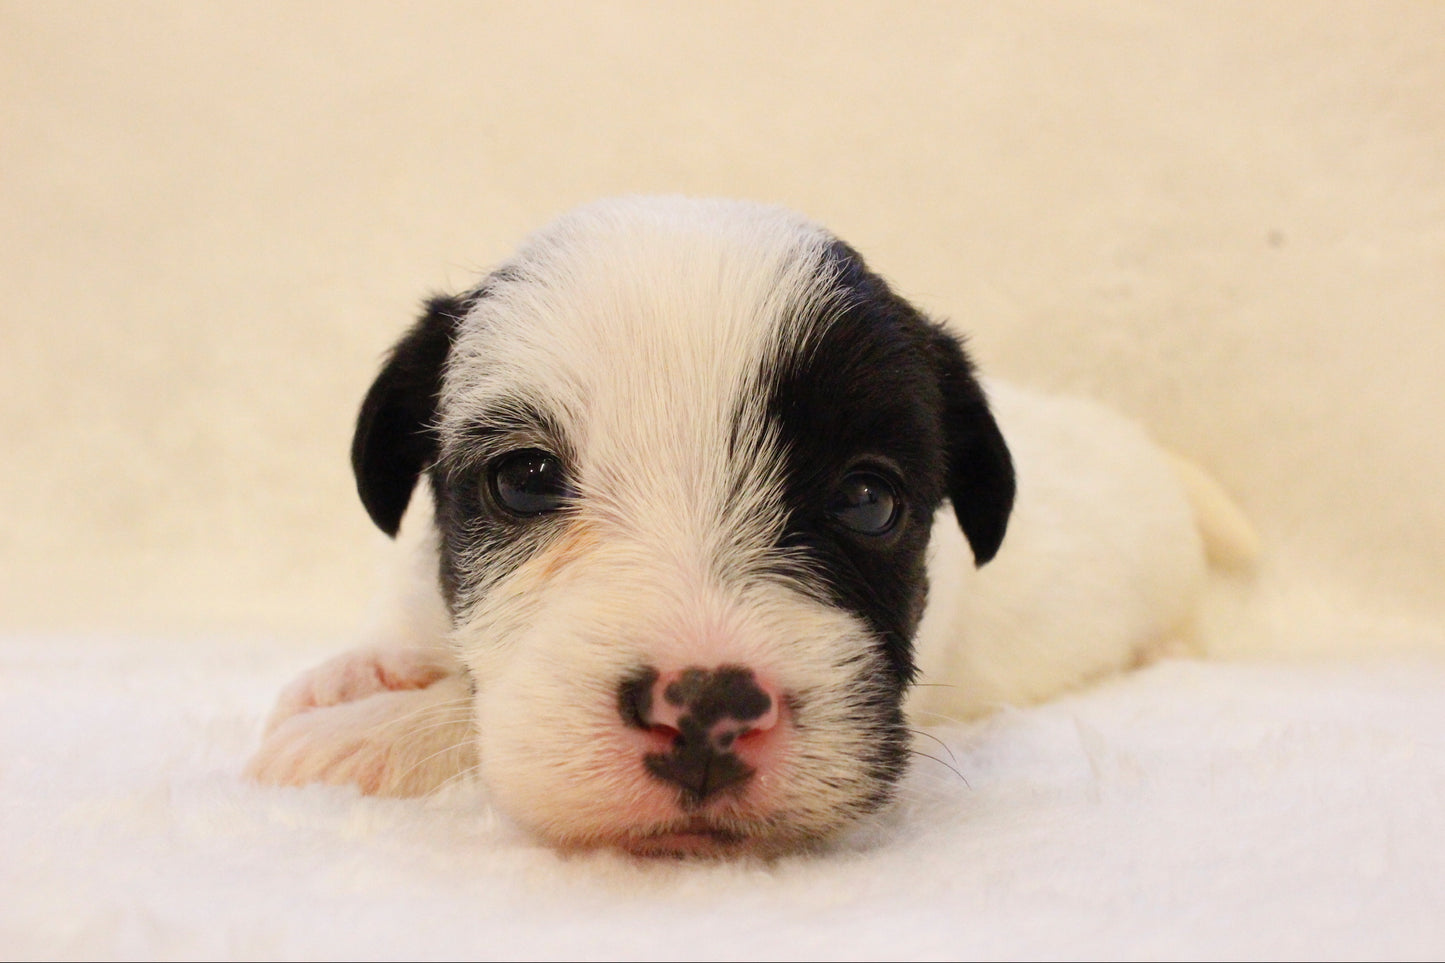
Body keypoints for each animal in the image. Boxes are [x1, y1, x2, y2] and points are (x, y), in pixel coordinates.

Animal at [248, 195, 1254, 856]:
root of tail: (1148, 453)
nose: (706, 708)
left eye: (866, 500)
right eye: (525, 481)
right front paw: (366, 669)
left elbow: (473, 711)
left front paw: (373, 734)